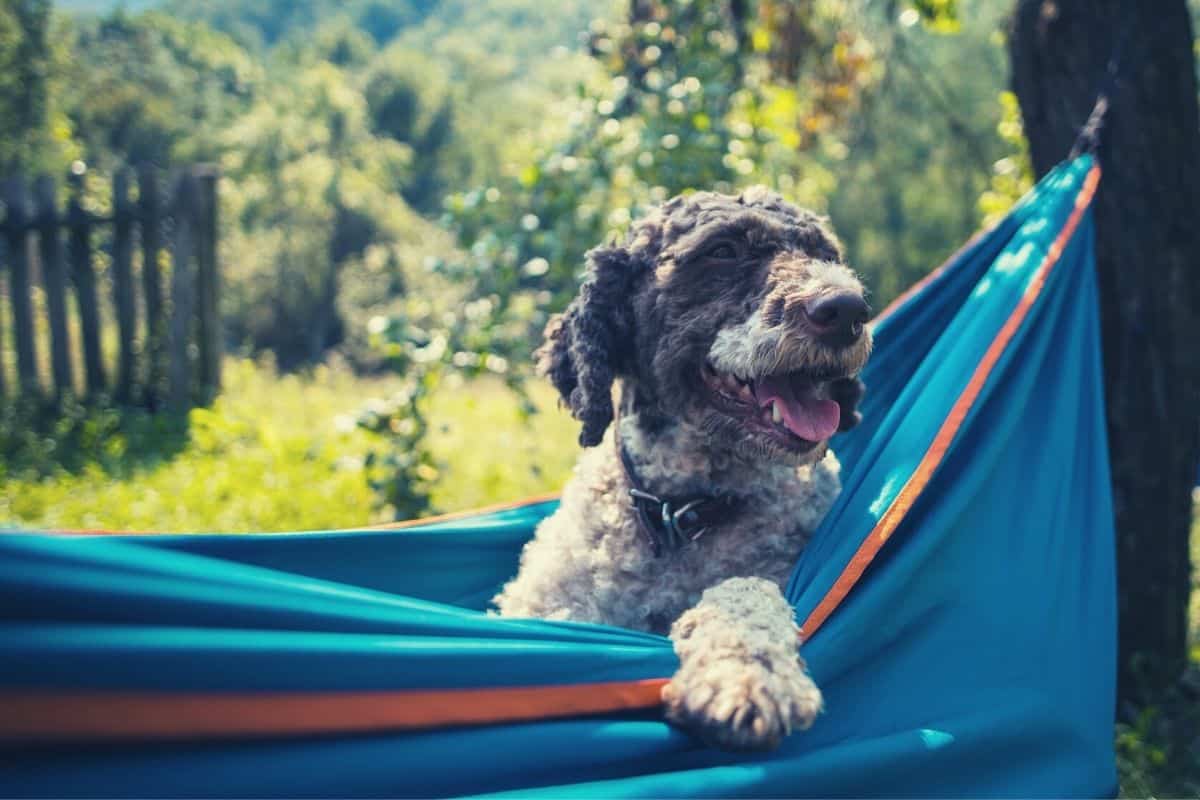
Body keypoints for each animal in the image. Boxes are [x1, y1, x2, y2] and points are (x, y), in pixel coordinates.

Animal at [489, 185, 873, 753]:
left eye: (824, 253)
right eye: (723, 251)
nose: (847, 308)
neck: (680, 514)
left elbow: (745, 591)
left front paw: (747, 674)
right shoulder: (551, 601)